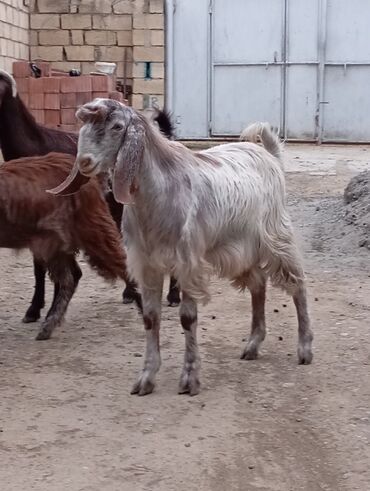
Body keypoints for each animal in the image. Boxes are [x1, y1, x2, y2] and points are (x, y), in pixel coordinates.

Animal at [49, 100, 314, 396]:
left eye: (117, 127)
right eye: (83, 125)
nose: (85, 161)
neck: (157, 198)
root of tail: (269, 155)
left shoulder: (188, 264)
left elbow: (187, 318)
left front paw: (189, 379)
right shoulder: (147, 265)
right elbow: (150, 318)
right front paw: (146, 378)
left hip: (276, 235)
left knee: (298, 283)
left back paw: (304, 348)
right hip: (240, 248)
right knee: (258, 284)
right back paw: (253, 344)